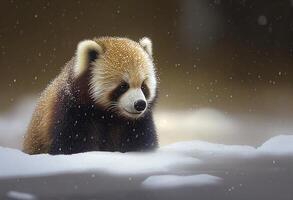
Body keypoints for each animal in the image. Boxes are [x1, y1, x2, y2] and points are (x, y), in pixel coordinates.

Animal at [22, 36, 157, 155]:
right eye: (123, 86)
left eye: (143, 86)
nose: (140, 104)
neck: (110, 116)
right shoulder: (72, 111)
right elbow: (71, 144)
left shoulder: (138, 123)